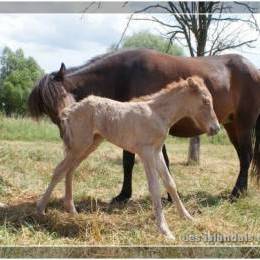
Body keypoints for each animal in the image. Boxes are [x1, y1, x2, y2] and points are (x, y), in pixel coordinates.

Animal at [27, 49, 260, 203]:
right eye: (48, 110)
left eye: (63, 96)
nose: (66, 134)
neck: (123, 76)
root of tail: (253, 69)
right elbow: (134, 162)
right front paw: (130, 195)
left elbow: (141, 161)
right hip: (231, 127)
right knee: (243, 157)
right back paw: (240, 191)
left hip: (243, 126)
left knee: (246, 156)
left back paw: (236, 194)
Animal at [36, 76, 219, 239]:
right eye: (205, 101)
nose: (215, 128)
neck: (157, 114)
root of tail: (71, 109)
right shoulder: (146, 152)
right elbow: (154, 188)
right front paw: (165, 230)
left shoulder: (157, 151)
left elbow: (170, 183)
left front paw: (187, 217)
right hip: (80, 145)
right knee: (59, 170)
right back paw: (41, 210)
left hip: (89, 145)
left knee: (70, 170)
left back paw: (71, 210)